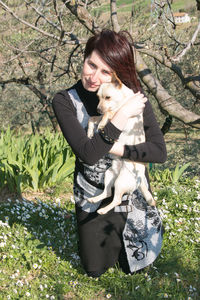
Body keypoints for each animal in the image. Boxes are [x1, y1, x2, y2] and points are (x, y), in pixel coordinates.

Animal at [87, 74, 155, 214]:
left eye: (107, 97)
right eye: (98, 97)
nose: (98, 109)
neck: (122, 101)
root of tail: (140, 179)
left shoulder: (117, 112)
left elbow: (106, 114)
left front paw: (101, 124)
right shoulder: (101, 115)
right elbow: (92, 118)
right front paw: (89, 132)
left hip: (120, 182)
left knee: (117, 200)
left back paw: (103, 210)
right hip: (110, 174)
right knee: (107, 193)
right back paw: (94, 200)